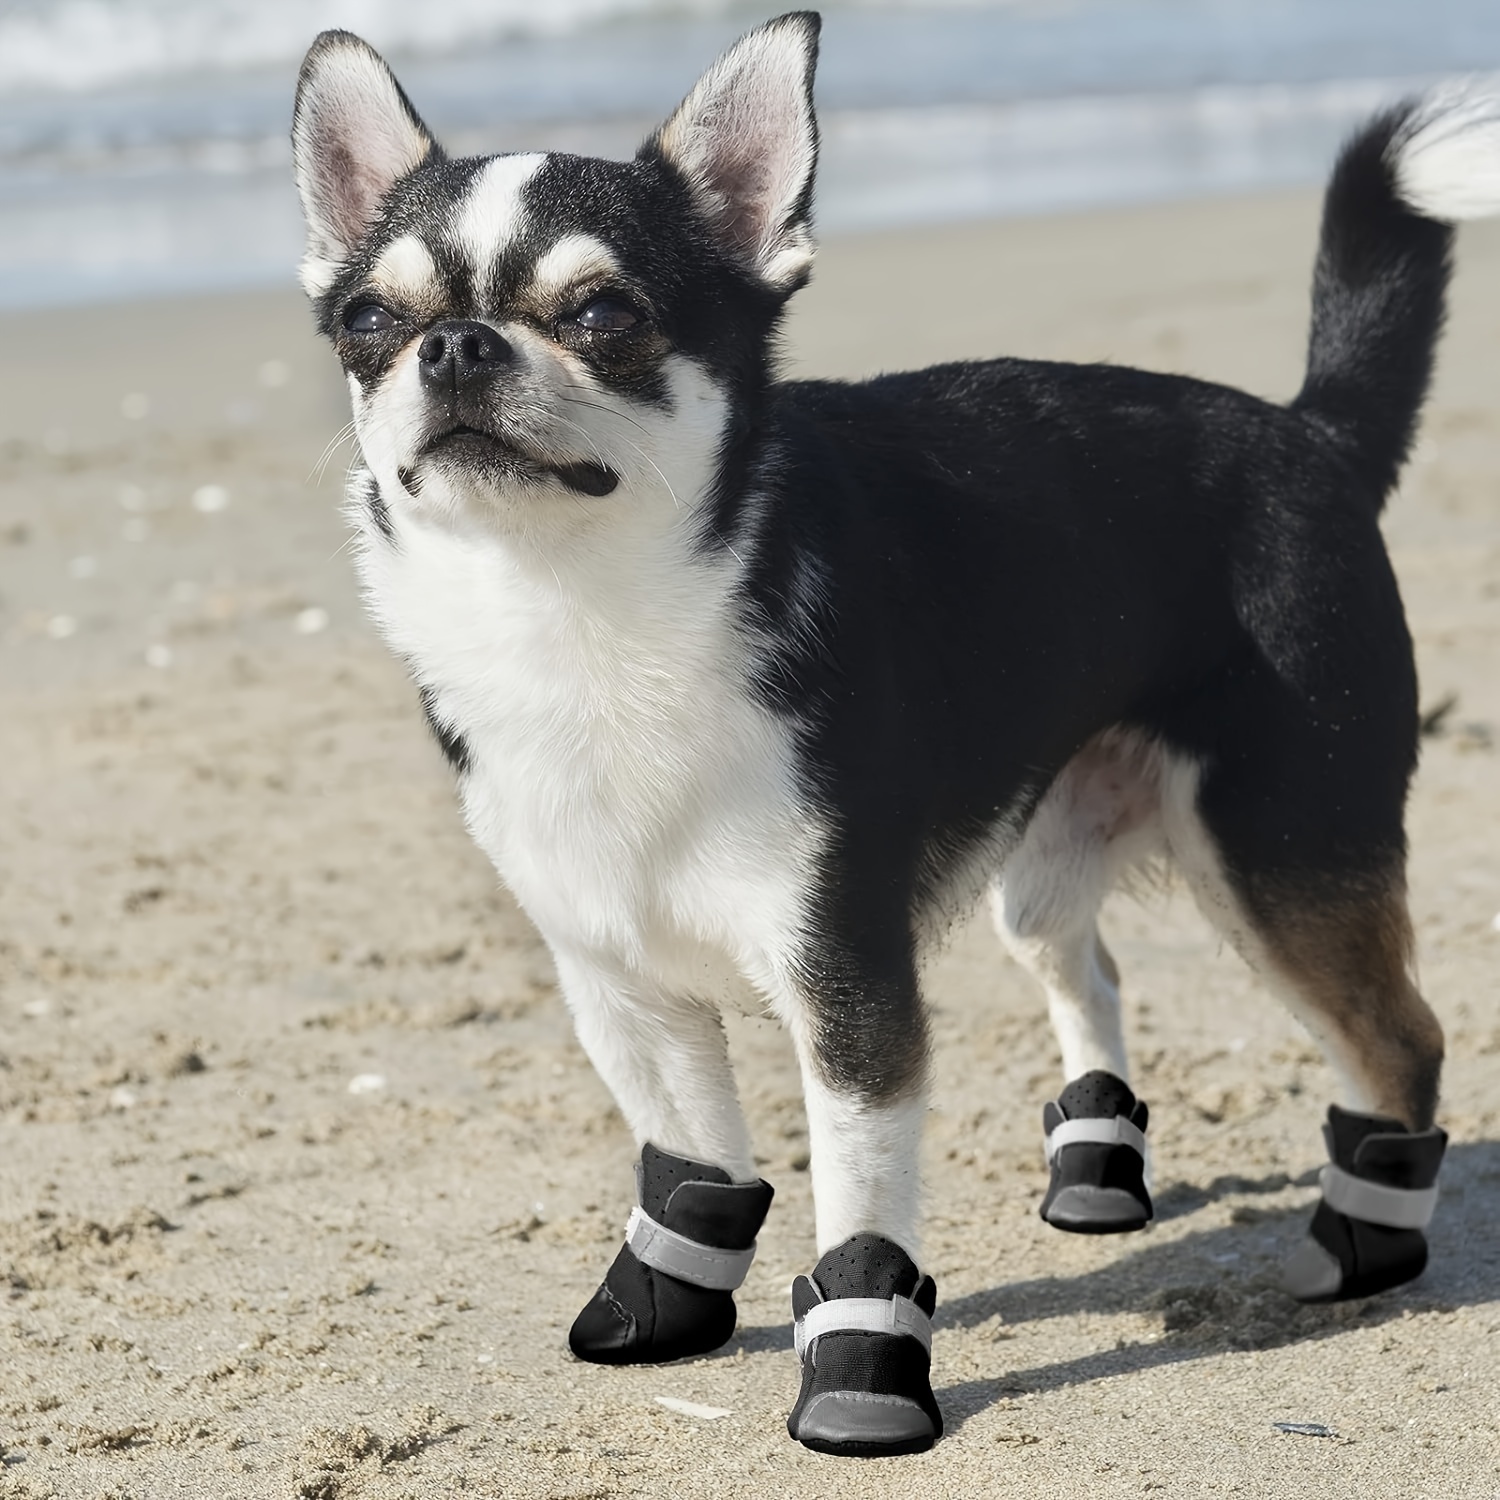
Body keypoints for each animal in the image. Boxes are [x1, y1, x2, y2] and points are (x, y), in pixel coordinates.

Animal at [295, 14, 1500, 1452]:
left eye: (603, 314)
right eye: (370, 321)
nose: (458, 346)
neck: (581, 613)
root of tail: (1314, 431)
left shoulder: (850, 991)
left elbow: (858, 1202)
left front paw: (860, 1379)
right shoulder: (622, 983)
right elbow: (690, 1159)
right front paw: (667, 1299)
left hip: (1281, 855)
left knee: (1401, 1041)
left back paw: (1362, 1244)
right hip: (1051, 863)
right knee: (1091, 969)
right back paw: (1098, 1169)